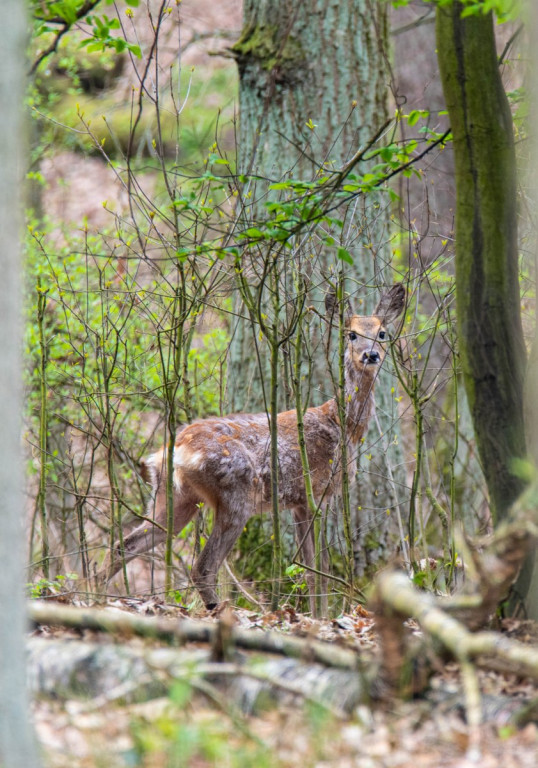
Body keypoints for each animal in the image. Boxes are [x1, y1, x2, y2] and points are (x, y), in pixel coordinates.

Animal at [104, 284, 402, 608]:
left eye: (382, 333)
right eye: (351, 334)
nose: (371, 354)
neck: (342, 425)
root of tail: (175, 452)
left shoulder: (298, 503)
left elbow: (310, 571)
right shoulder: (320, 493)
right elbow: (321, 569)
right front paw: (324, 614)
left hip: (173, 498)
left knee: (123, 545)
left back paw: (92, 589)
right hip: (235, 494)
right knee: (203, 567)